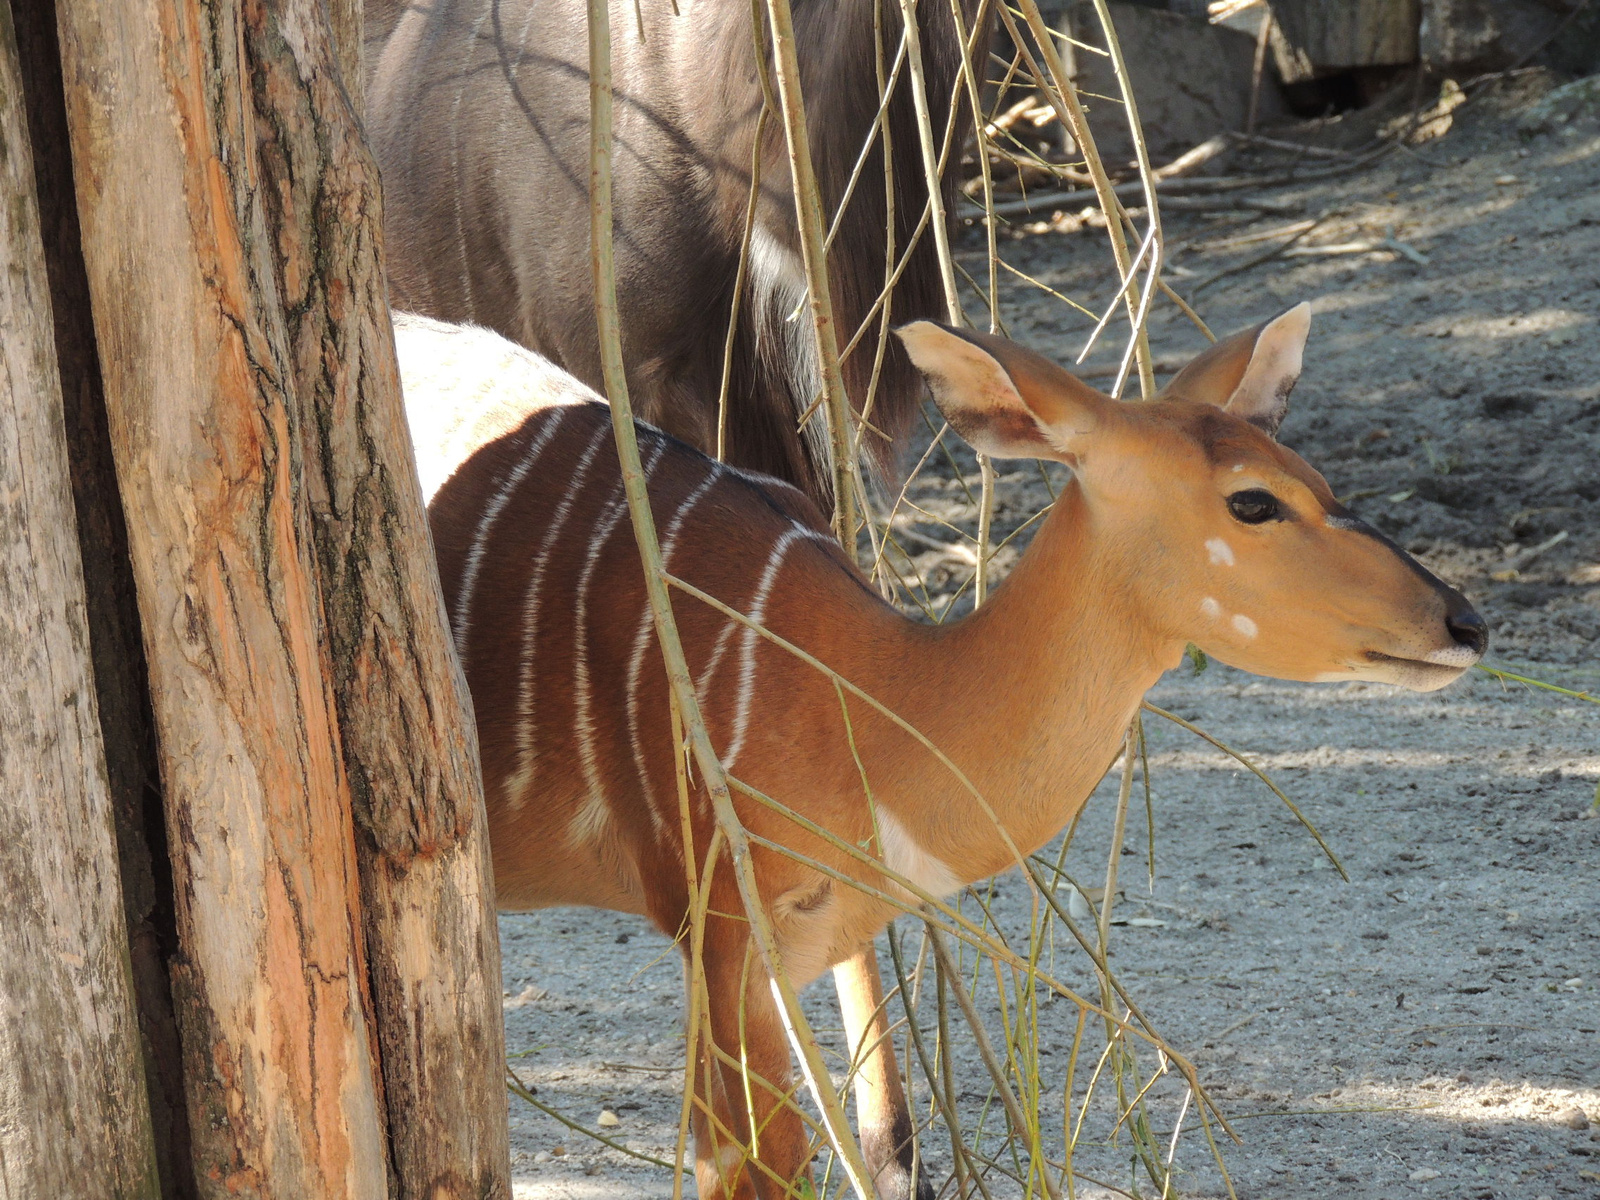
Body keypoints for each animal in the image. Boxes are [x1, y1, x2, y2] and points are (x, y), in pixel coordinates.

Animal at [396, 305, 1484, 1200]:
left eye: (1321, 480)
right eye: (1253, 502)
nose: (1462, 620)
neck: (865, 695)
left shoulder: (832, 932)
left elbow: (888, 1144)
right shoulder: (717, 924)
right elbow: (749, 1164)